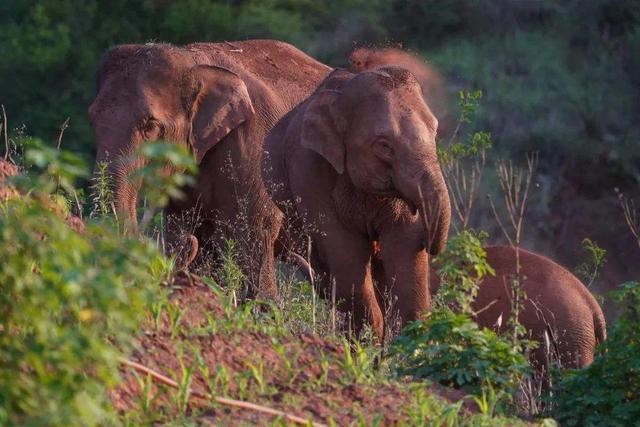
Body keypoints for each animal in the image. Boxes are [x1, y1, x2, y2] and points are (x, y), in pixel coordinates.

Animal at [89, 41, 330, 300]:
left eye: (151, 127)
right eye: (92, 119)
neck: (193, 61)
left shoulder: (254, 148)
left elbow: (255, 233)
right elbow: (184, 228)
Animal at [262, 67, 452, 340]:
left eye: (435, 132)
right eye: (384, 146)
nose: (431, 243)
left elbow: (404, 249)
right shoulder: (309, 173)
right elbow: (345, 254)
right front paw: (366, 342)